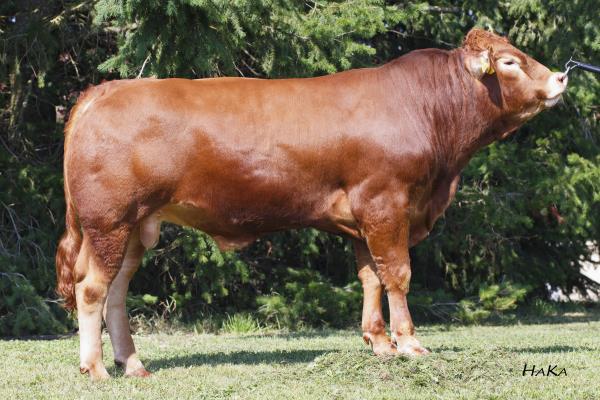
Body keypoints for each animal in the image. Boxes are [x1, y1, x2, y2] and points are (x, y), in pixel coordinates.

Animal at [56, 28, 568, 380]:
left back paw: (133, 364)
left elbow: (371, 276)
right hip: (109, 220)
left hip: (136, 225)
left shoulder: (365, 216)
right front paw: (409, 344)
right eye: (509, 62)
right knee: (91, 288)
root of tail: (106, 90)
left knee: (117, 291)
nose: (561, 77)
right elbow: (398, 274)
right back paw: (96, 369)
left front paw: (378, 343)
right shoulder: (387, 202)